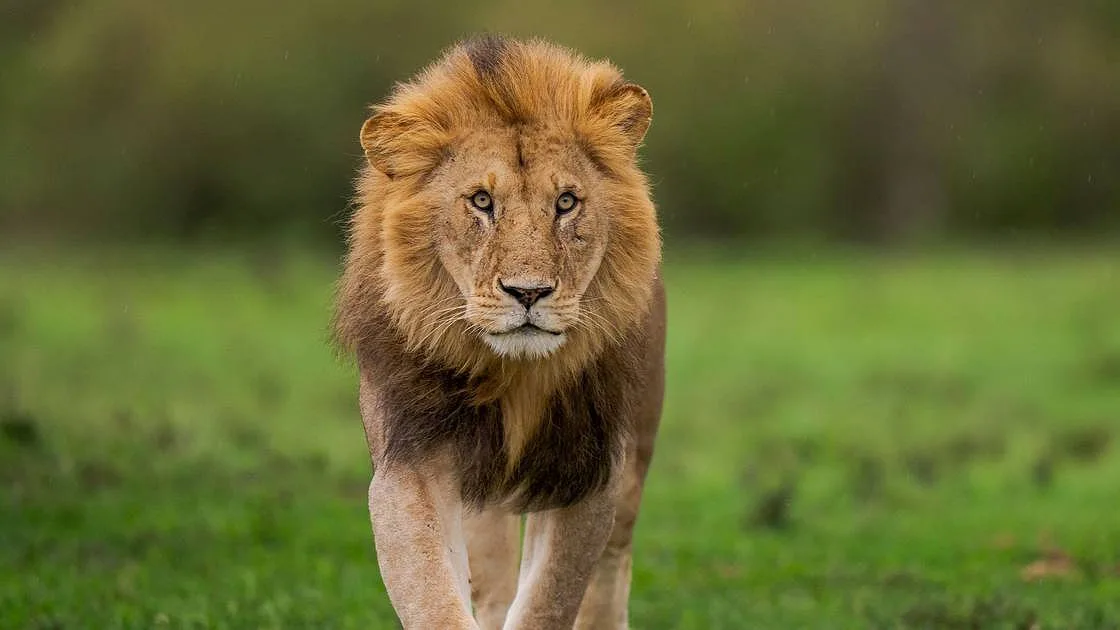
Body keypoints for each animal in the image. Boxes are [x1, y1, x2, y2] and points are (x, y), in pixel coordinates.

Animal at [334, 35, 664, 630]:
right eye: (482, 201)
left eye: (566, 202)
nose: (528, 293)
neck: (513, 375)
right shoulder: (410, 462)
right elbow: (430, 592)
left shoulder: (588, 469)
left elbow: (549, 599)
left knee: (611, 569)